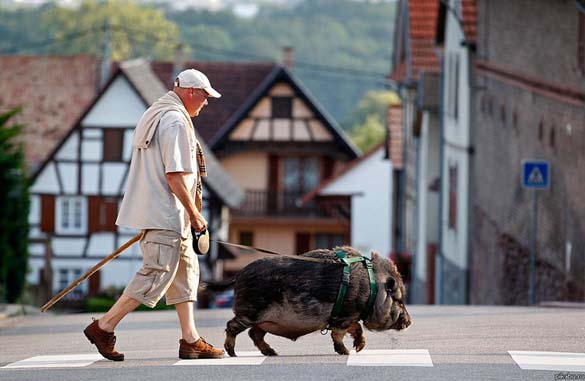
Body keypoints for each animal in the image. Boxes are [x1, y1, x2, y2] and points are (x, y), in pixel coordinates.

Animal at [224, 246, 410, 356]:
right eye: (399, 300)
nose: (409, 322)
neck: (373, 288)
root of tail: (238, 276)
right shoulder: (345, 315)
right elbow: (338, 334)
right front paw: (347, 353)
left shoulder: (349, 316)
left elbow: (356, 328)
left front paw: (358, 348)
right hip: (250, 312)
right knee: (232, 326)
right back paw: (232, 353)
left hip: (264, 320)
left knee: (254, 333)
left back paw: (273, 353)